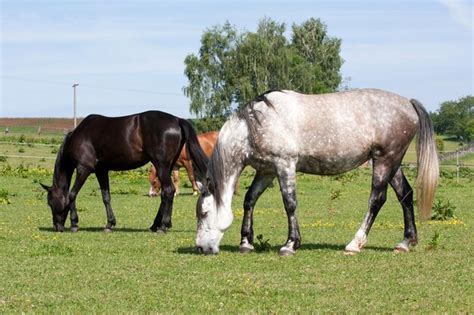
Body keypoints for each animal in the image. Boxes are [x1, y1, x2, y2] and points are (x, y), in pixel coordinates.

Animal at [41, 110, 208, 232]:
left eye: (50, 202)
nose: (57, 227)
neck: (80, 136)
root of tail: (177, 120)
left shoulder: (84, 169)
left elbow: (72, 195)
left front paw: (74, 224)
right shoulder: (101, 171)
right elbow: (106, 197)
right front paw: (109, 224)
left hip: (162, 165)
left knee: (168, 191)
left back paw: (163, 226)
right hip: (167, 166)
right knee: (165, 193)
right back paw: (155, 225)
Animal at [194, 89, 438, 256]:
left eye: (204, 213)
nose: (200, 248)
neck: (255, 125)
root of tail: (408, 103)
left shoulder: (285, 165)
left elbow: (290, 203)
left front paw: (290, 244)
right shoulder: (267, 171)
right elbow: (249, 199)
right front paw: (246, 243)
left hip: (384, 161)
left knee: (377, 199)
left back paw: (355, 243)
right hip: (392, 163)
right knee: (405, 195)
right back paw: (405, 242)